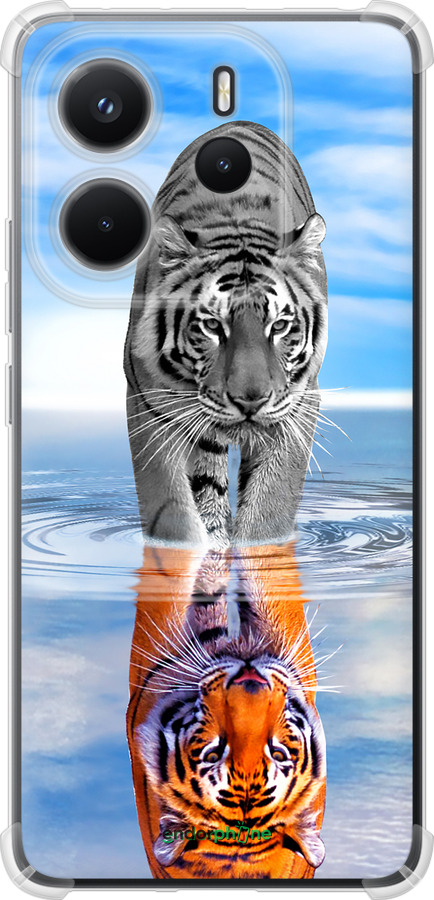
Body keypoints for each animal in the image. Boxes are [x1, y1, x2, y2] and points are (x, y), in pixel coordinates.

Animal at [124, 121, 328, 549]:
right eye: (212, 326)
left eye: (280, 326)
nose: (250, 400)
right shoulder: (148, 402)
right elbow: (172, 512)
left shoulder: (299, 404)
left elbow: (270, 508)